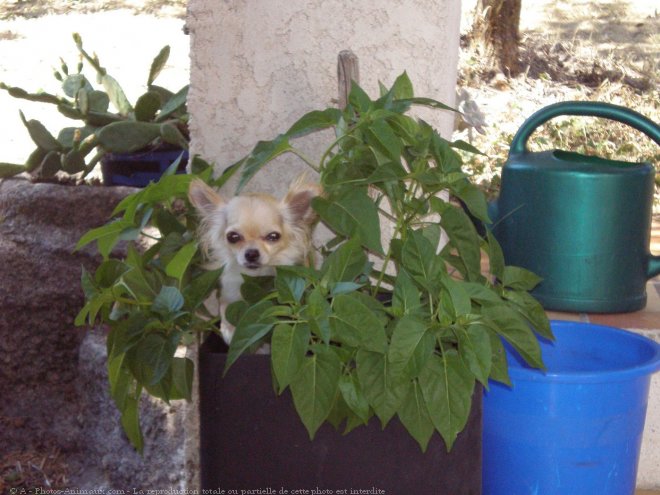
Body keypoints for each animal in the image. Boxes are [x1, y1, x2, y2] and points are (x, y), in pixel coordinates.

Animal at [187, 177, 320, 344]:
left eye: (273, 236)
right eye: (233, 237)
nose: (251, 253)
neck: (255, 278)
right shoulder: (229, 292)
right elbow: (225, 305)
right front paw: (229, 328)